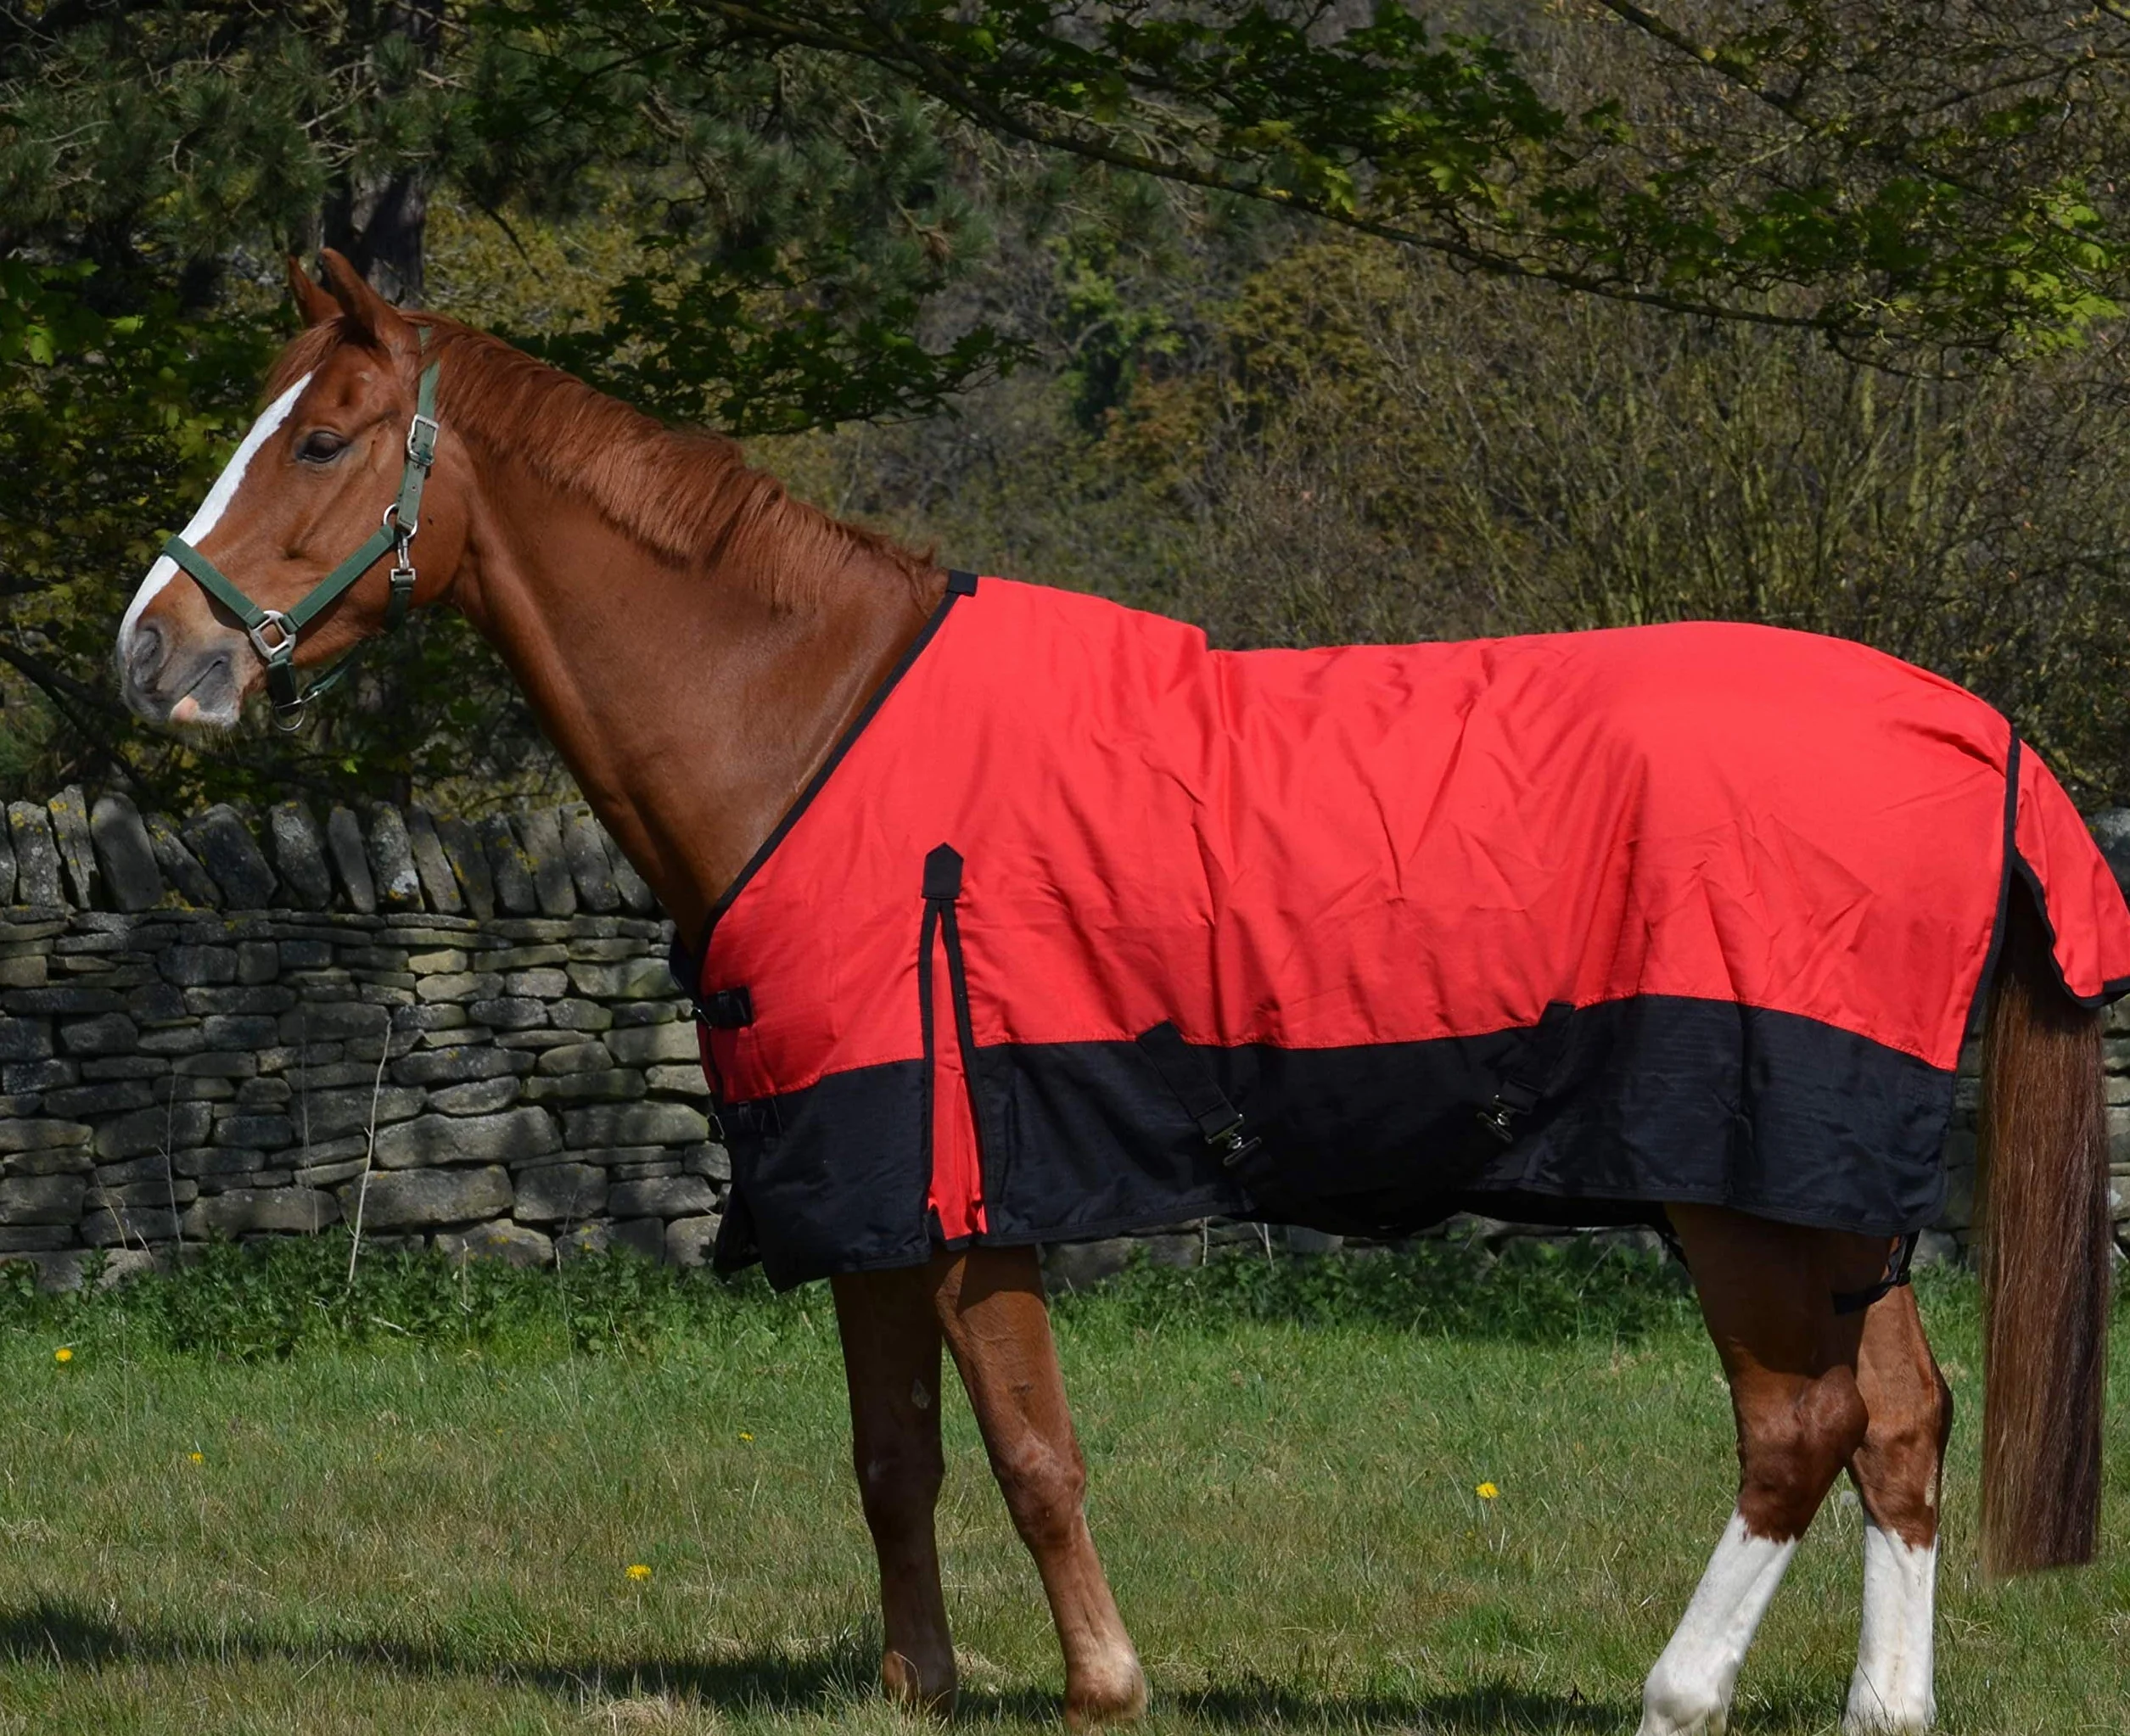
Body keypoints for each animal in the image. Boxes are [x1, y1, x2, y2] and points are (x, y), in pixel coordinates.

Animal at [113, 251, 2117, 1736]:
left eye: (322, 442)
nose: (154, 656)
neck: (812, 727)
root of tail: (1963, 728)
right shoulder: (865, 1185)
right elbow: (895, 1458)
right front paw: (921, 1689)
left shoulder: (972, 1179)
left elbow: (1031, 1453)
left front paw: (1104, 1685)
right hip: (1822, 1187)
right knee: (1901, 1422)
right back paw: (1879, 1705)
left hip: (1738, 1178)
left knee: (1799, 1431)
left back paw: (1676, 1690)